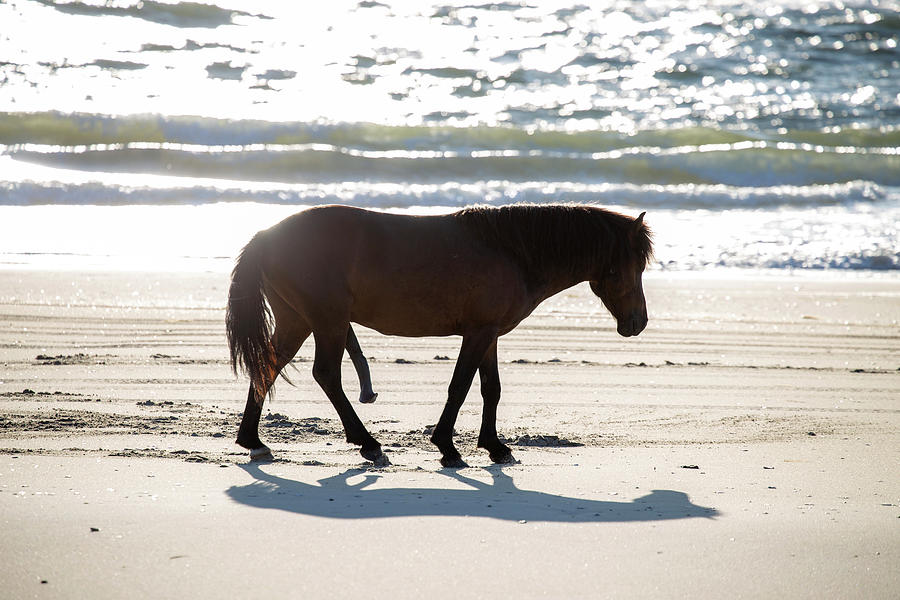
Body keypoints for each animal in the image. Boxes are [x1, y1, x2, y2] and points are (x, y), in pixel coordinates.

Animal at [224, 204, 648, 466]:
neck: (512, 251)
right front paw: (447, 446)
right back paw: (368, 444)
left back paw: (253, 441)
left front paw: (494, 447)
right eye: (634, 266)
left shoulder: (489, 334)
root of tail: (268, 235)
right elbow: (459, 387)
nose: (638, 323)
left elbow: (490, 389)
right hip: (328, 322)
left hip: (298, 320)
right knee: (326, 375)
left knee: (268, 366)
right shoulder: (477, 333)